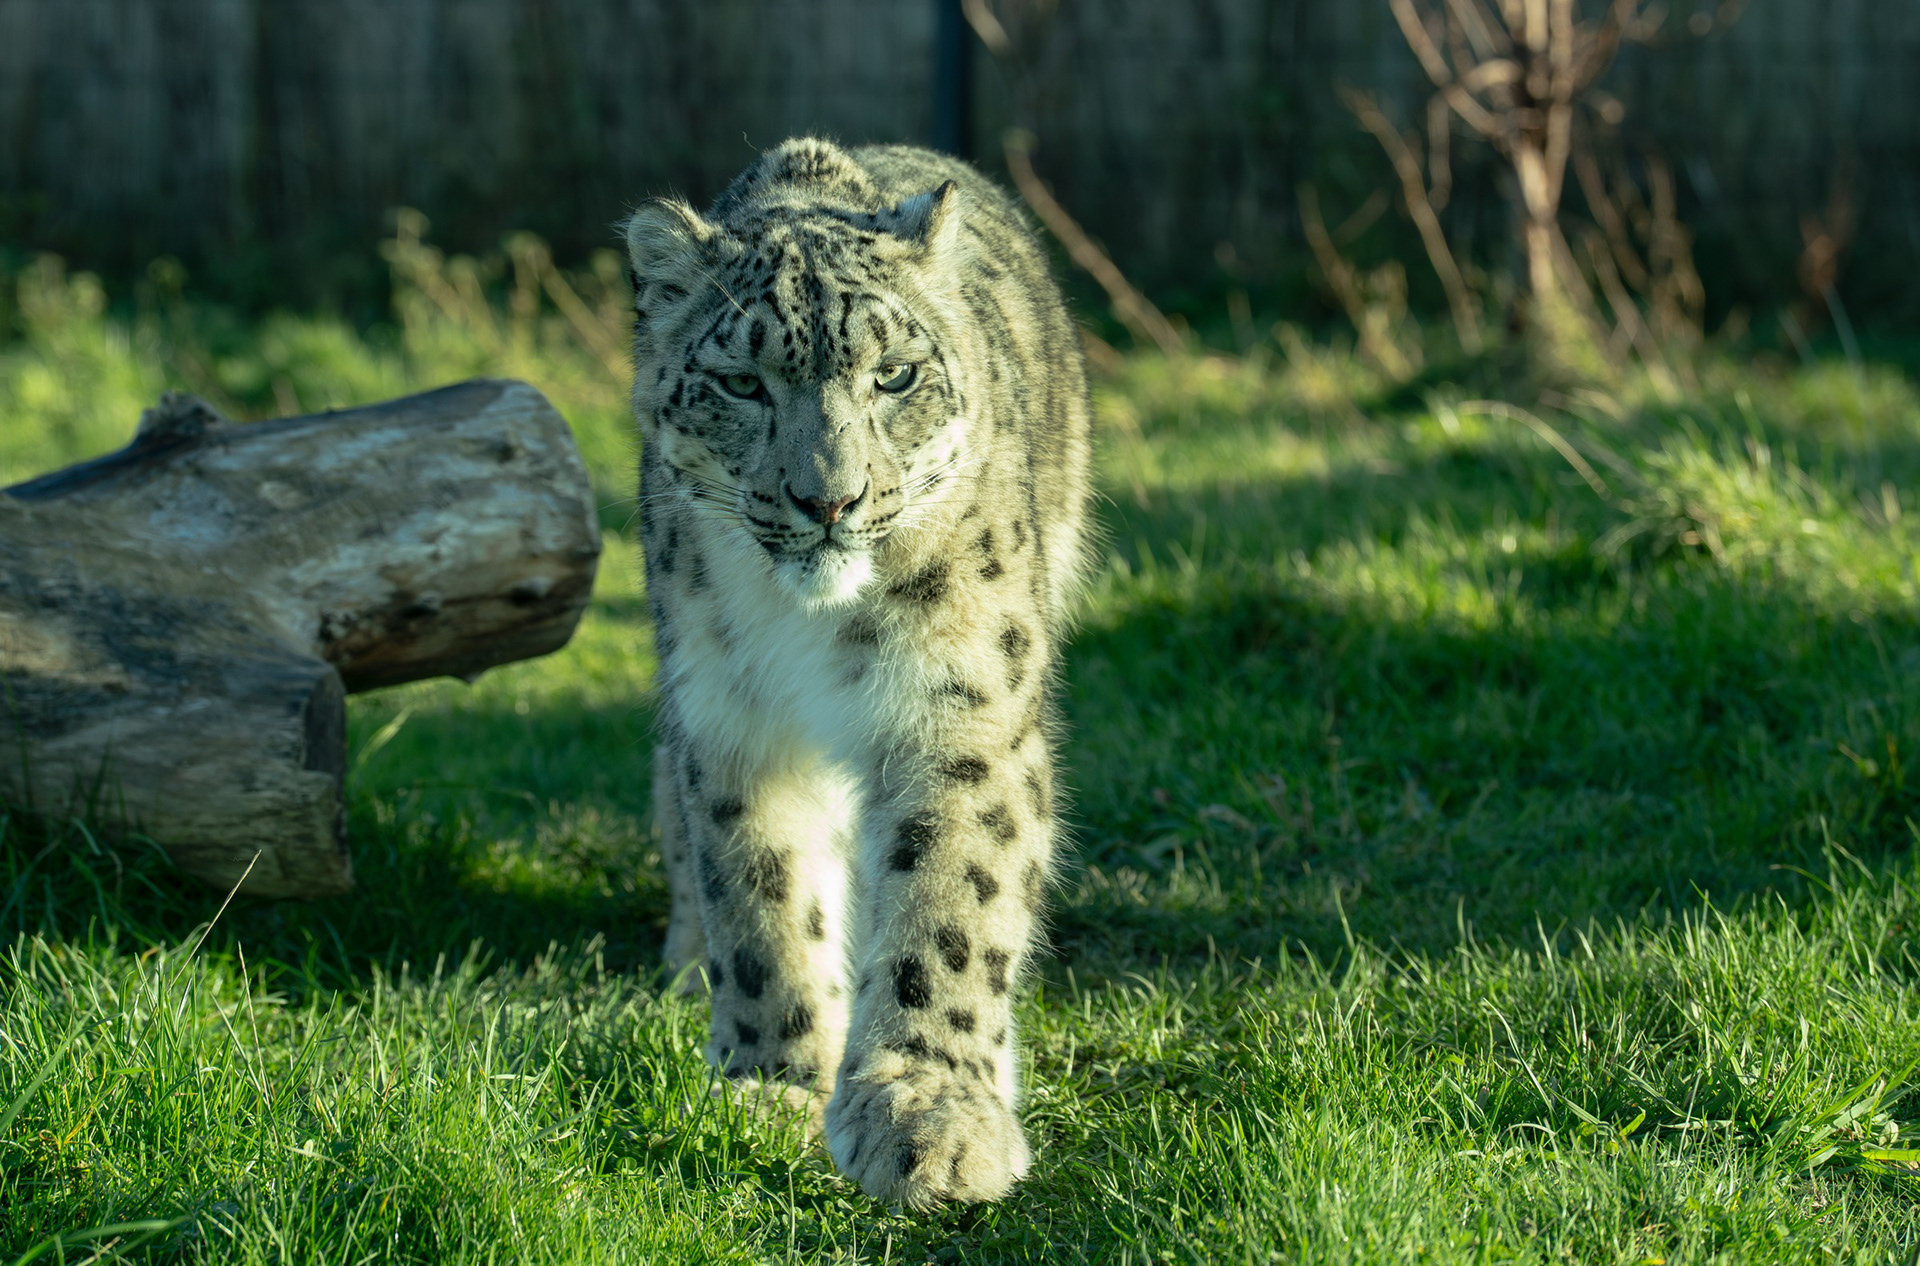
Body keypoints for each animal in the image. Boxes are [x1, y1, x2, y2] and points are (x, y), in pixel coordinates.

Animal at [624, 136, 1092, 1208]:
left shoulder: (961, 707)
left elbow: (951, 900)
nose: (828, 500)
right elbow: (759, 900)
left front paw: (931, 1117)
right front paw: (774, 1087)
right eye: (740, 383)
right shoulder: (730, 721)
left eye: (897, 376)